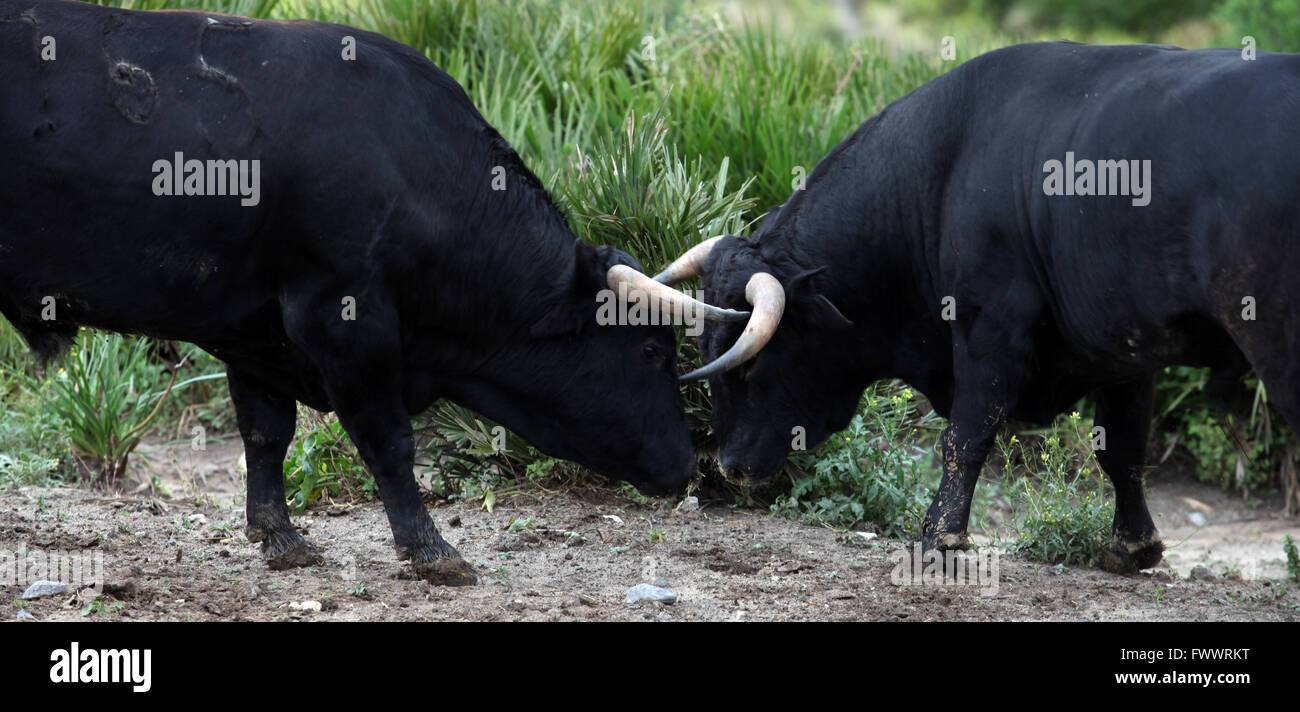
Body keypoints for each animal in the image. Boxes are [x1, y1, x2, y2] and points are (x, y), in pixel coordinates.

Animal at [660, 40, 1300, 571]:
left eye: (750, 366)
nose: (729, 466)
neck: (943, 170)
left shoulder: (988, 327)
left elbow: (966, 435)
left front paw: (939, 535)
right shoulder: (1126, 349)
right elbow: (1122, 448)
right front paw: (1133, 547)